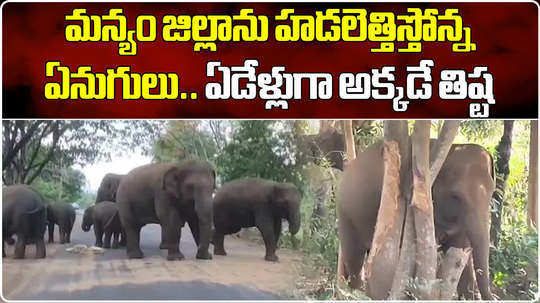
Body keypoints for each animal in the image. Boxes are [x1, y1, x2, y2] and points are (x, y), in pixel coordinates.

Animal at [340, 141, 496, 300]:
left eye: (492, 191)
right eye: (456, 196)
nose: (494, 296)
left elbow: (460, 251)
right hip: (346, 214)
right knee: (354, 258)